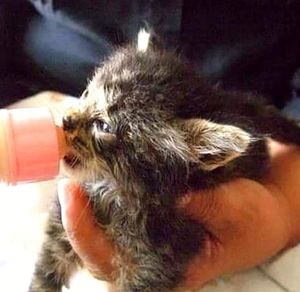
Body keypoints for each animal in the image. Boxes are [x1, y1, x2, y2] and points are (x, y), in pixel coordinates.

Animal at [28, 30, 300, 290]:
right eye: (86, 93)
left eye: (103, 126)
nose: (66, 121)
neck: (114, 192)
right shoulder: (60, 227)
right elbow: (46, 269)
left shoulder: (159, 262)